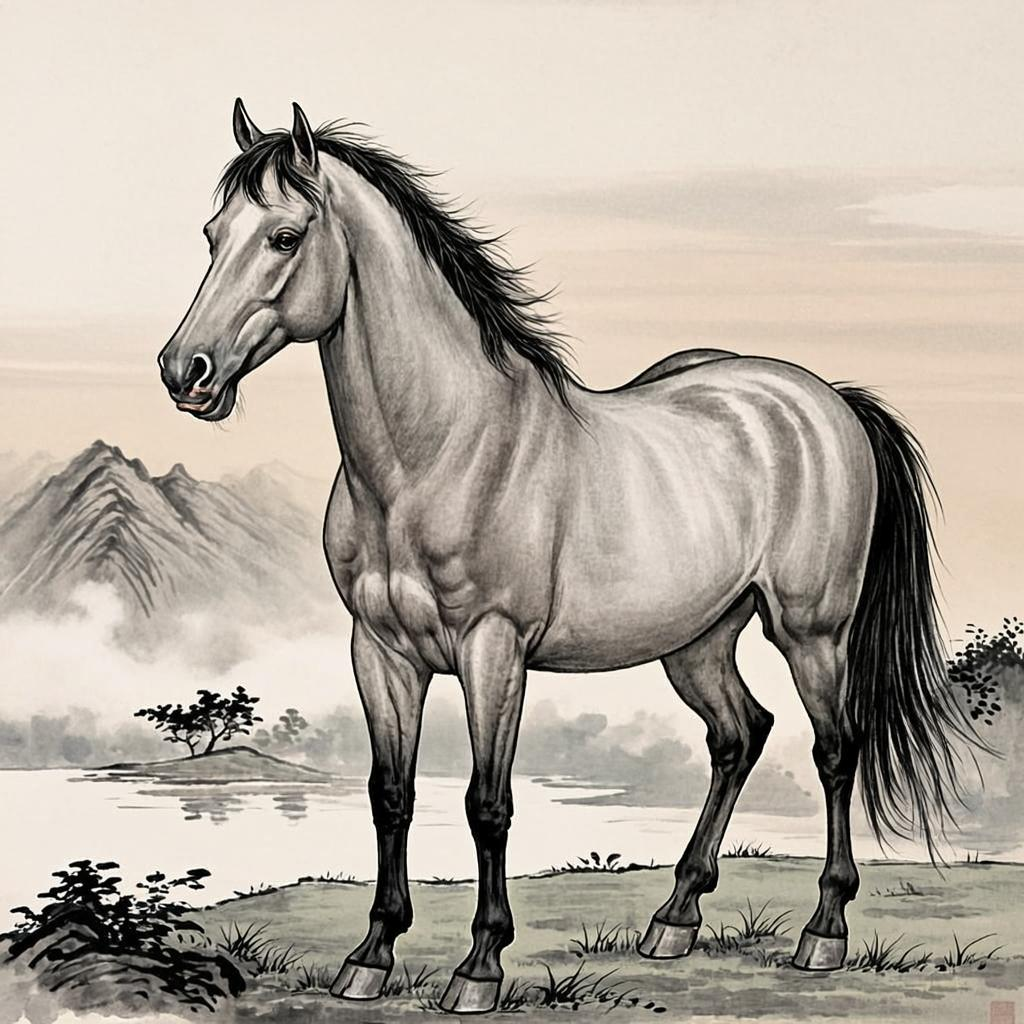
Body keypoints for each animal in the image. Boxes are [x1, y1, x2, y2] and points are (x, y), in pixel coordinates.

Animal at [158, 100, 976, 1014]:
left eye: (285, 236)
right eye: (212, 234)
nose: (185, 372)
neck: (439, 453)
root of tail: (826, 398)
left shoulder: (493, 650)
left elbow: (487, 804)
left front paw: (480, 965)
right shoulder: (380, 651)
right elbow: (391, 797)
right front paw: (371, 955)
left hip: (812, 634)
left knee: (835, 751)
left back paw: (823, 933)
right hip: (697, 641)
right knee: (740, 735)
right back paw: (674, 919)